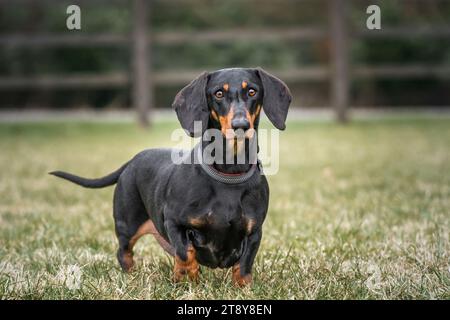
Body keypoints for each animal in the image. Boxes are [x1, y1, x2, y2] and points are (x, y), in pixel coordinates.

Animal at [51, 67, 292, 284]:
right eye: (218, 93)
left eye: (252, 91)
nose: (241, 125)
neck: (228, 172)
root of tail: (133, 160)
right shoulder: (174, 221)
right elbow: (185, 253)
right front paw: (186, 279)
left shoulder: (254, 232)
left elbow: (243, 265)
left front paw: (243, 287)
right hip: (127, 224)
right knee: (124, 252)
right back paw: (132, 276)